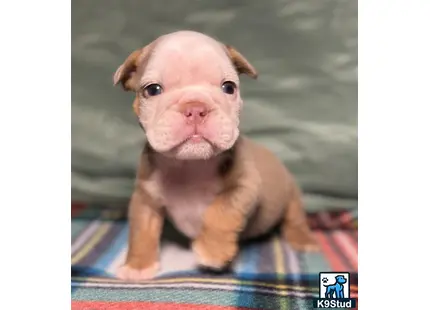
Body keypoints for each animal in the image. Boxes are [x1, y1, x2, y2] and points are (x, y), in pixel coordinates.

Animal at [112, 30, 318, 280]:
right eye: (152, 90)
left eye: (229, 87)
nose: (195, 107)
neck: (189, 165)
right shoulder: (145, 197)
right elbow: (141, 230)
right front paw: (138, 265)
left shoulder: (243, 187)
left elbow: (221, 211)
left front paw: (212, 252)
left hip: (291, 194)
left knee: (294, 217)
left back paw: (303, 238)